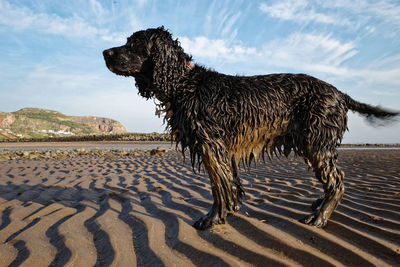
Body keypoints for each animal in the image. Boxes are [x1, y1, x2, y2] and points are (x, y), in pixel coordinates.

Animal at [102, 26, 396, 230]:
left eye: (134, 43)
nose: (104, 52)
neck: (185, 83)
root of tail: (339, 93)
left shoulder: (211, 145)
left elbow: (218, 188)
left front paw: (212, 219)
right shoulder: (223, 150)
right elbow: (230, 184)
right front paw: (231, 209)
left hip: (317, 143)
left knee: (337, 181)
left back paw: (319, 217)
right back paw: (318, 206)